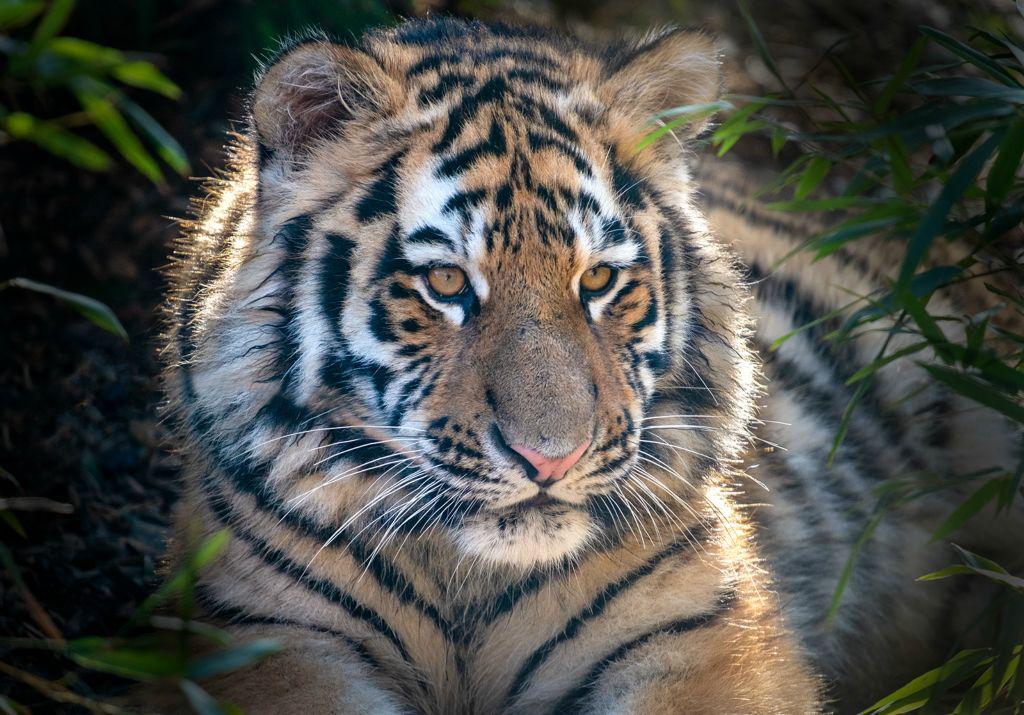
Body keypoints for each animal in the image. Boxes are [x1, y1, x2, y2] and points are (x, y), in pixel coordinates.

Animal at [154, 17, 1021, 714]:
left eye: (598, 279)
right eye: (447, 284)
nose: (552, 458)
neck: (468, 586)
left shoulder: (702, 639)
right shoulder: (272, 638)